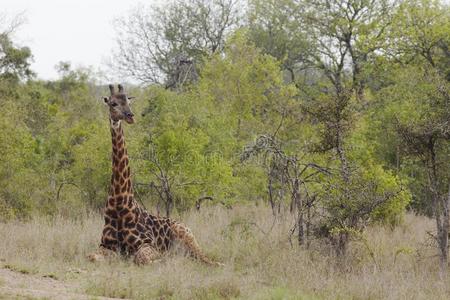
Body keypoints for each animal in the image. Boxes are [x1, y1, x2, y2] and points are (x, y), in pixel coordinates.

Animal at [87, 84, 221, 264]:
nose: (130, 116)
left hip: (188, 238)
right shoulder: (106, 245)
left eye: (129, 101)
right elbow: (91, 256)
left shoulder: (147, 244)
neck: (119, 203)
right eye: (113, 103)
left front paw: (161, 260)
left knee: (208, 259)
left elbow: (142, 258)